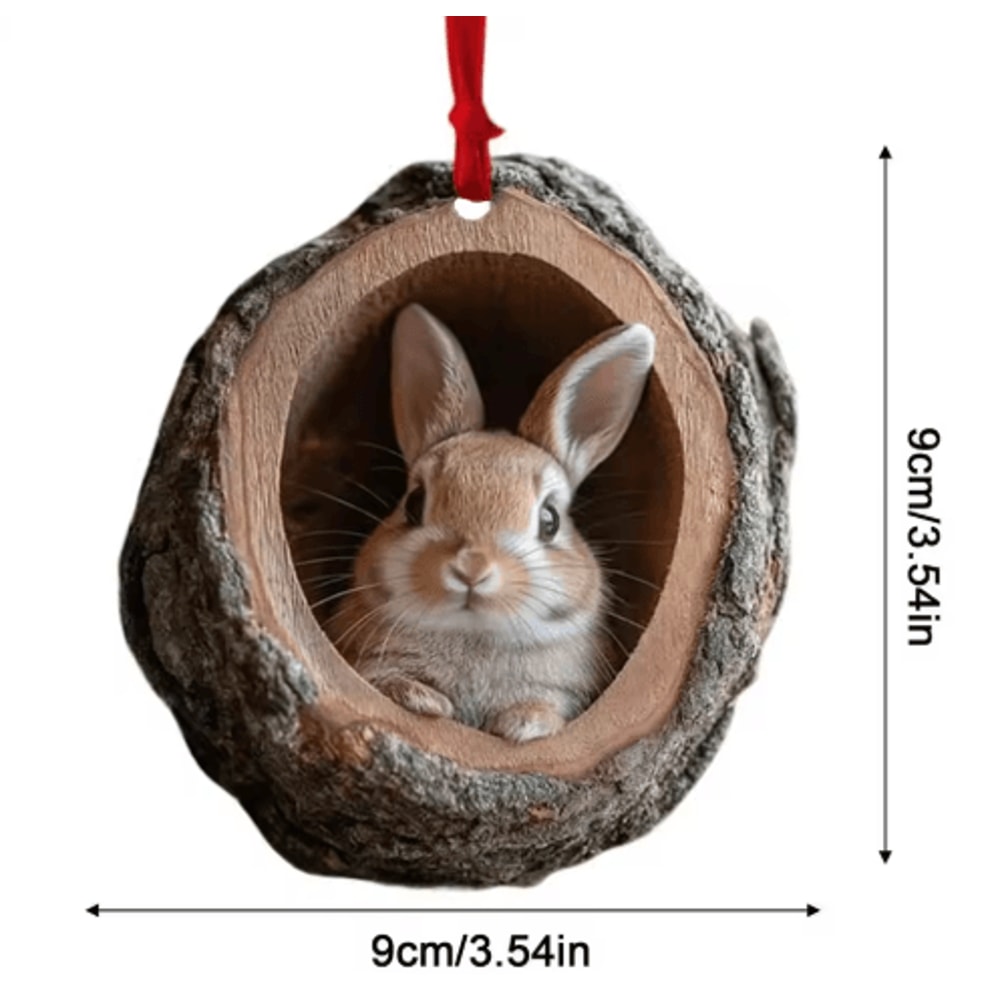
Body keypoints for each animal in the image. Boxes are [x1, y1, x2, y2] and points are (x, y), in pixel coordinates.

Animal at [327, 303, 655, 742]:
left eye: (550, 520)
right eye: (414, 503)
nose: (472, 568)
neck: (474, 634)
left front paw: (524, 723)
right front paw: (424, 700)